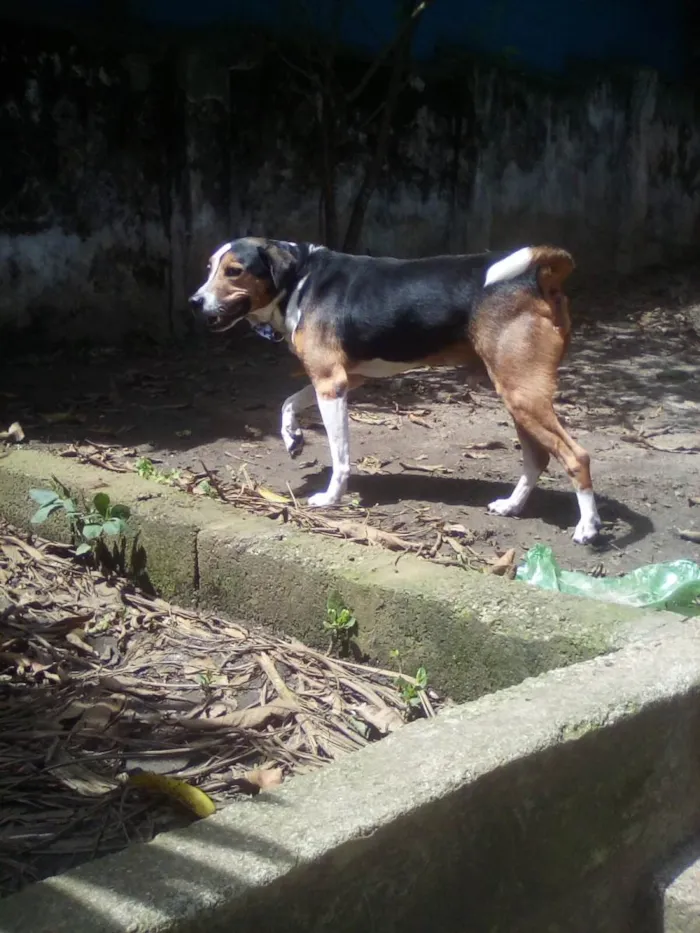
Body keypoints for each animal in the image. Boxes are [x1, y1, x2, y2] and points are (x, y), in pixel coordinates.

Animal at [190, 240, 600, 544]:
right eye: (209, 267)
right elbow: (288, 402)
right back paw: (512, 506)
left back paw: (588, 528)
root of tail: (536, 276)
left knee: (576, 456)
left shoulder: (331, 384)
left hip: (522, 394)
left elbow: (340, 455)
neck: (301, 279)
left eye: (234, 271)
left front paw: (331, 498)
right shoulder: (344, 378)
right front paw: (292, 437)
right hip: (516, 395)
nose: (194, 302)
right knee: (538, 457)